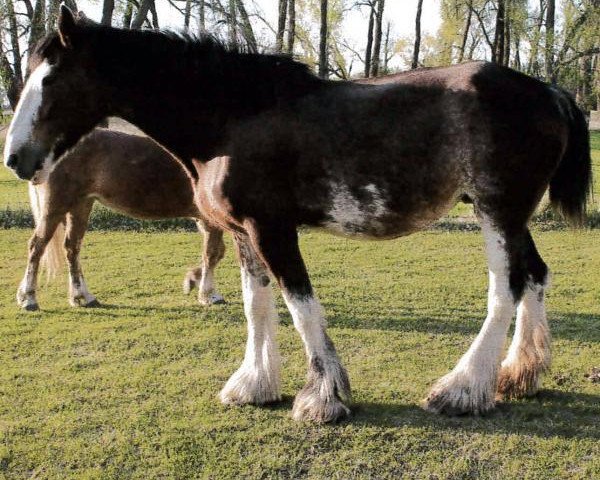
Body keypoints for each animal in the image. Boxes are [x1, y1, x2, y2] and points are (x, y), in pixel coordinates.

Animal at [17, 127, 227, 312]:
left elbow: (217, 253)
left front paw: (193, 280)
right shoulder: (211, 222)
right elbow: (211, 254)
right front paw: (209, 295)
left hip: (80, 205)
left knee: (72, 248)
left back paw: (83, 297)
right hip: (56, 206)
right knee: (37, 246)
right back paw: (29, 299)